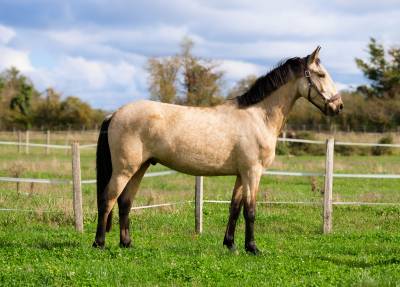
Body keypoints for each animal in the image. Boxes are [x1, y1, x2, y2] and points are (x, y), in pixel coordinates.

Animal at [93, 46, 344, 255]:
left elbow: (234, 208)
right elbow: (250, 211)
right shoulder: (253, 172)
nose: (338, 106)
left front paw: (230, 244)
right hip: (124, 169)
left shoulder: (242, 174)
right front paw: (253, 248)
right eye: (321, 75)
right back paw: (99, 243)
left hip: (140, 168)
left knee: (125, 202)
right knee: (108, 199)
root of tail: (114, 114)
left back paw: (127, 243)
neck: (258, 116)